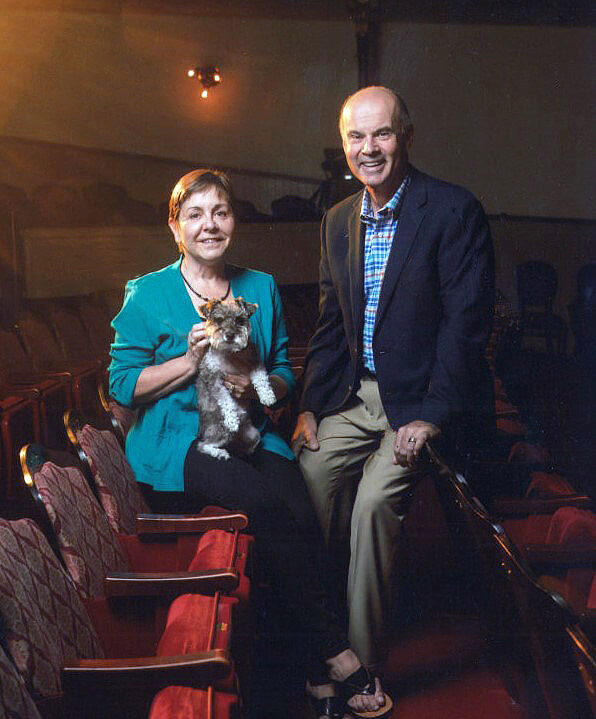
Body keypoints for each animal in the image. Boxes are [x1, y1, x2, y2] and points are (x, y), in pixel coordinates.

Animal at [197, 298, 278, 462]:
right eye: (219, 320)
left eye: (240, 320)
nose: (230, 335)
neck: (230, 353)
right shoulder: (214, 380)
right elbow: (225, 400)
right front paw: (232, 420)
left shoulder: (256, 363)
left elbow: (261, 379)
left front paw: (268, 397)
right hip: (222, 431)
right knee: (203, 445)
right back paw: (220, 453)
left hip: (254, 434)